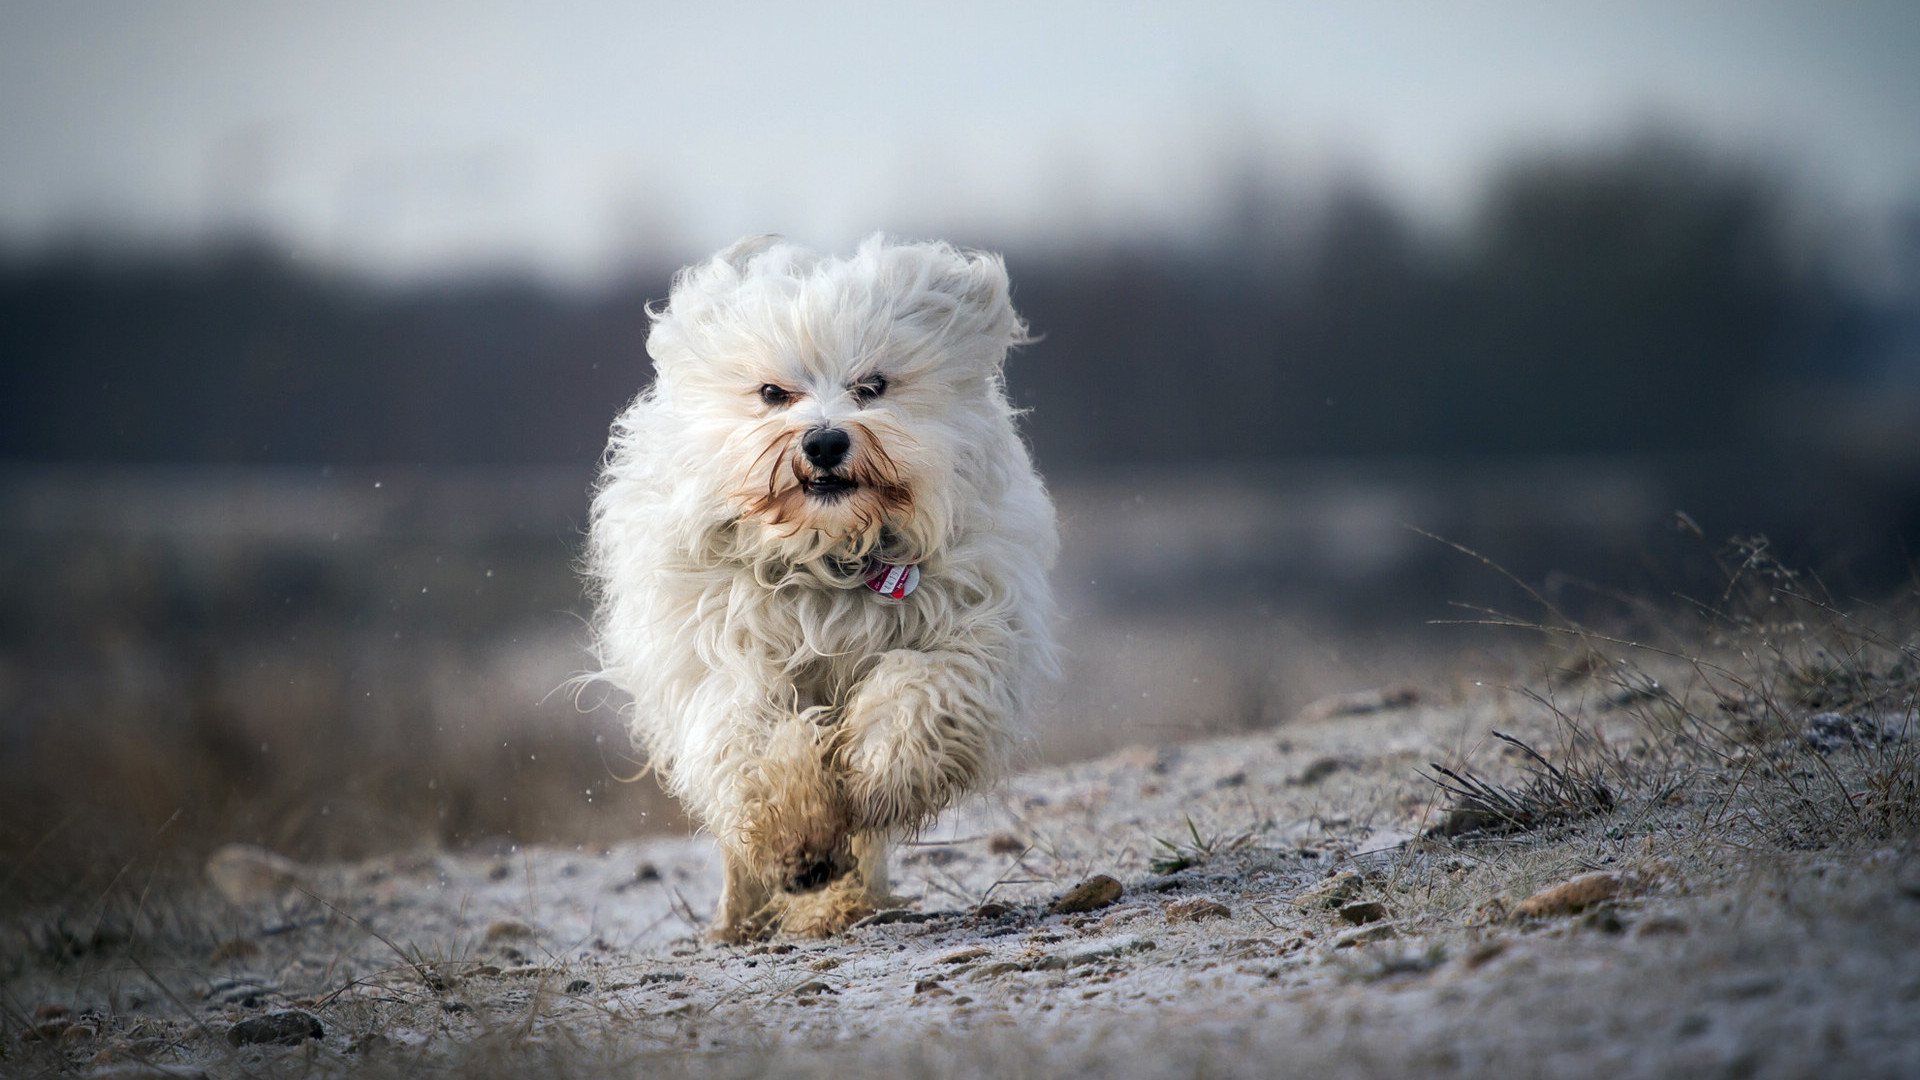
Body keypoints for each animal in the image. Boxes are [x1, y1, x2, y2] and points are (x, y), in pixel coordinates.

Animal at [587, 233, 1059, 933]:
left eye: (872, 386)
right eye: (772, 392)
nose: (826, 441)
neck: (830, 556)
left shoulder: (969, 632)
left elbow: (918, 694)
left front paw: (878, 778)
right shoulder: (725, 653)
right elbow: (756, 739)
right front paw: (798, 838)